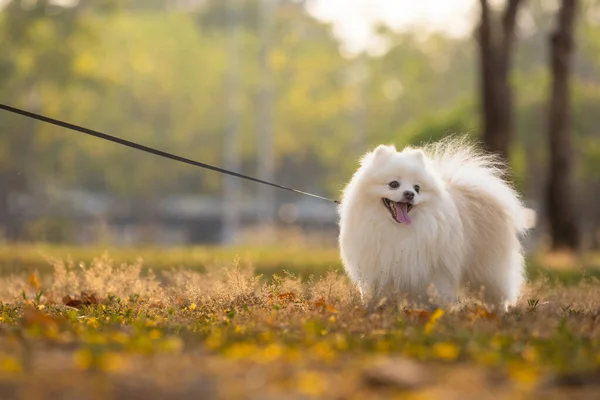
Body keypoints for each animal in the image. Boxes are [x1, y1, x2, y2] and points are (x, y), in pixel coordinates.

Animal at [338, 138, 536, 310]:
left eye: (417, 188)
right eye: (394, 184)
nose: (409, 193)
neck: (398, 230)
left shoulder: (436, 269)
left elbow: (436, 293)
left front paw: (435, 312)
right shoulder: (378, 268)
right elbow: (375, 294)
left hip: (488, 268)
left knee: (498, 294)